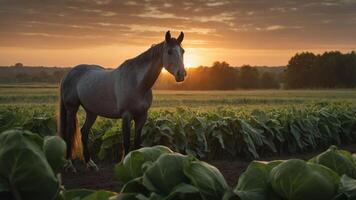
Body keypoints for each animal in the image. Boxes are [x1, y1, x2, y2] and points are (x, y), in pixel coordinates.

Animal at [58, 31, 186, 170]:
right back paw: (69, 164)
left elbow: (137, 144)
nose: (182, 74)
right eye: (169, 51)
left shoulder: (142, 117)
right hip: (72, 109)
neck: (137, 83)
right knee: (69, 133)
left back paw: (90, 163)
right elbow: (126, 142)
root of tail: (69, 74)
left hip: (91, 112)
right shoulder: (126, 116)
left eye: (182, 51)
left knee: (84, 132)